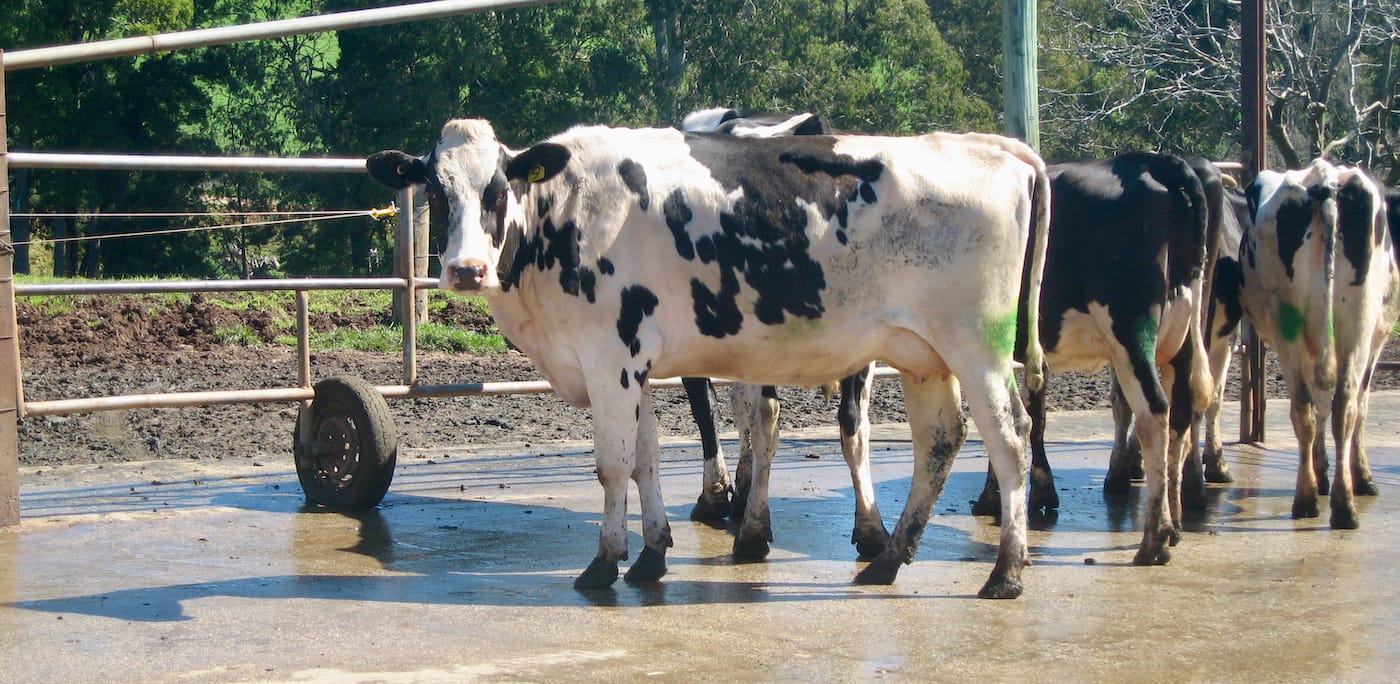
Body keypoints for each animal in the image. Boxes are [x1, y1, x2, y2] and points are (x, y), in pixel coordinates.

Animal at [367, 118, 1051, 597]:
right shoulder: (633, 366)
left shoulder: (608, 358)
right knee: (940, 441)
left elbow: (612, 467)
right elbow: (644, 462)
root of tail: (994, 146)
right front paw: (651, 554)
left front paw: (603, 563)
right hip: (924, 355)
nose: (465, 269)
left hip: (977, 346)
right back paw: (885, 561)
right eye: (435, 190)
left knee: (1010, 439)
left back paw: (1006, 574)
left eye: (498, 187)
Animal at [972, 151, 1217, 566]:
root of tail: (1150, 162)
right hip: (1182, 338)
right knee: (1181, 416)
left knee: (1155, 411)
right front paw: (1031, 492)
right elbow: (1029, 415)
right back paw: (1174, 525)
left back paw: (1153, 541)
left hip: (1131, 332)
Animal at [1240, 159, 1399, 528]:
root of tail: (1326, 179)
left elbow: (1325, 405)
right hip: (1346, 327)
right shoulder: (1377, 341)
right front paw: (1358, 476)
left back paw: (1333, 502)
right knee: (1335, 406)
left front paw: (1325, 471)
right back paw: (1318, 500)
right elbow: (1358, 406)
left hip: (1324, 326)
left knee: (1324, 407)